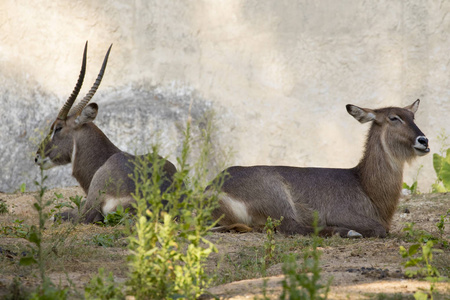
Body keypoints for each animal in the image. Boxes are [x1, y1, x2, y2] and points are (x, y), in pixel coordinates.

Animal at [213, 101, 430, 237]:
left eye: (412, 116)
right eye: (393, 118)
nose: (424, 140)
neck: (364, 185)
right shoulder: (340, 212)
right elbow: (379, 229)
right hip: (275, 194)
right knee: (291, 227)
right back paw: (346, 232)